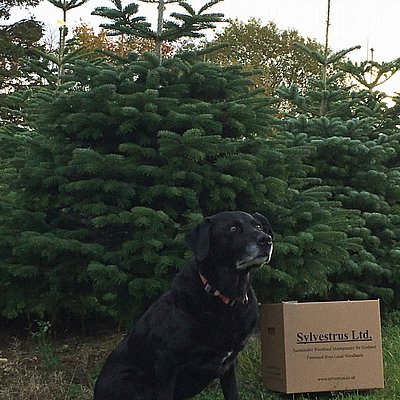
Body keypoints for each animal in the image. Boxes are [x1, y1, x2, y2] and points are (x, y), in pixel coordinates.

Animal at [95, 211, 274, 398]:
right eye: (232, 228)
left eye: (258, 226)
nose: (266, 239)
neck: (225, 298)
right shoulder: (166, 366)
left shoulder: (229, 366)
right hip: (131, 382)